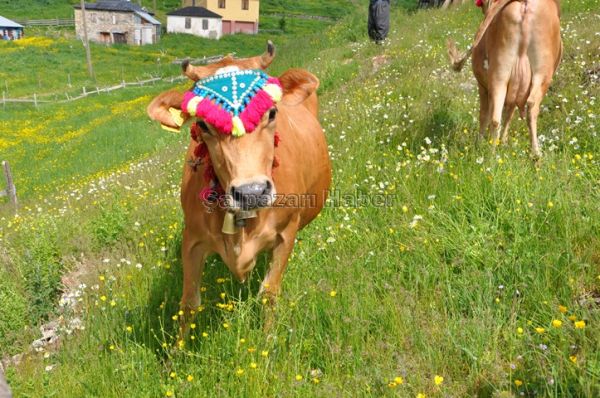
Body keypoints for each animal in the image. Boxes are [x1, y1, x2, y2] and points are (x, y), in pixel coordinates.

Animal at [147, 42, 330, 336]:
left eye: (272, 112)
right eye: (202, 124)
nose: (251, 192)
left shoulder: (286, 231)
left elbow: (269, 293)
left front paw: (268, 339)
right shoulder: (192, 238)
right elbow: (189, 302)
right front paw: (178, 347)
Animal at [450, 0, 564, 158]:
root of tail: (524, 3)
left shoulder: (485, 86)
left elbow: (495, 114)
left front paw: (491, 143)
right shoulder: (484, 86)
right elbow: (495, 115)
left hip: (506, 74)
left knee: (498, 116)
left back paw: (495, 154)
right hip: (534, 73)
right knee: (527, 108)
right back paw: (532, 154)